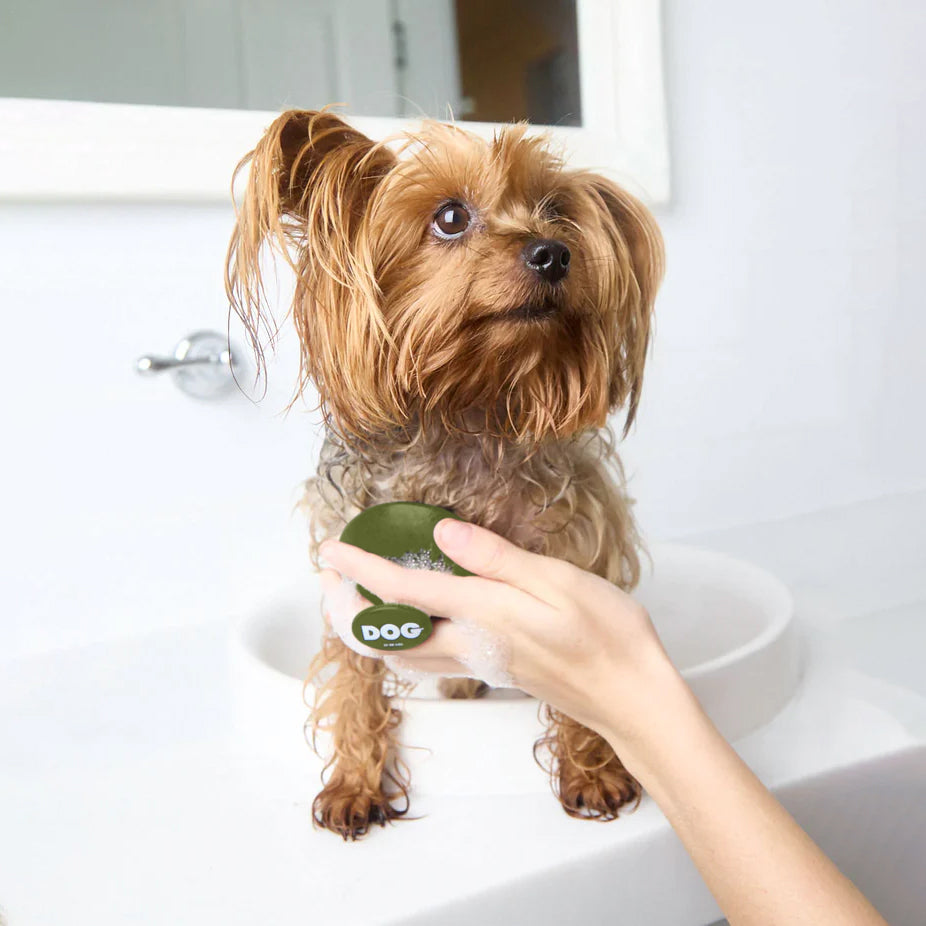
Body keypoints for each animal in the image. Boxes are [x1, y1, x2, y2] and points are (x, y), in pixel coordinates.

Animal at [225, 109, 664, 840]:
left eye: (555, 211)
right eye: (451, 216)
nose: (554, 252)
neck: (466, 411)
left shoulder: (579, 549)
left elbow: (592, 688)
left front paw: (594, 769)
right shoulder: (348, 567)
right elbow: (353, 676)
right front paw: (354, 780)